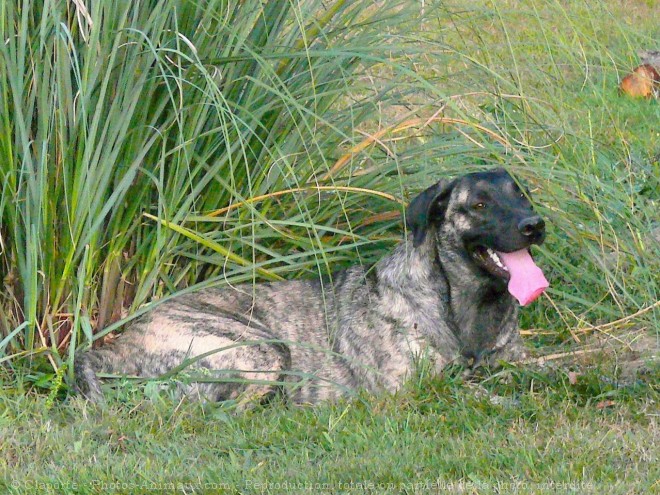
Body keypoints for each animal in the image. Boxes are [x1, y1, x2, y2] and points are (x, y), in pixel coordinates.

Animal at [75, 169, 548, 404]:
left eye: (521, 195)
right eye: (480, 204)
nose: (534, 224)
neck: (464, 301)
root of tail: (118, 343)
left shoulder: (519, 360)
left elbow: (547, 370)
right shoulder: (413, 392)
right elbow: (476, 391)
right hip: (263, 350)